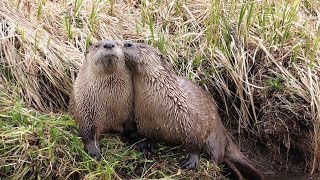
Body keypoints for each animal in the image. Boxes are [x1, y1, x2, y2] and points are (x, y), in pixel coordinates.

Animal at [121, 42, 264, 180]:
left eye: (141, 46)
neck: (158, 106)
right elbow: (148, 137)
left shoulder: (191, 122)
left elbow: (195, 144)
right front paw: (146, 147)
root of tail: (223, 130)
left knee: (216, 157)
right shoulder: (145, 123)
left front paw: (191, 162)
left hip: (214, 137)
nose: (126, 43)